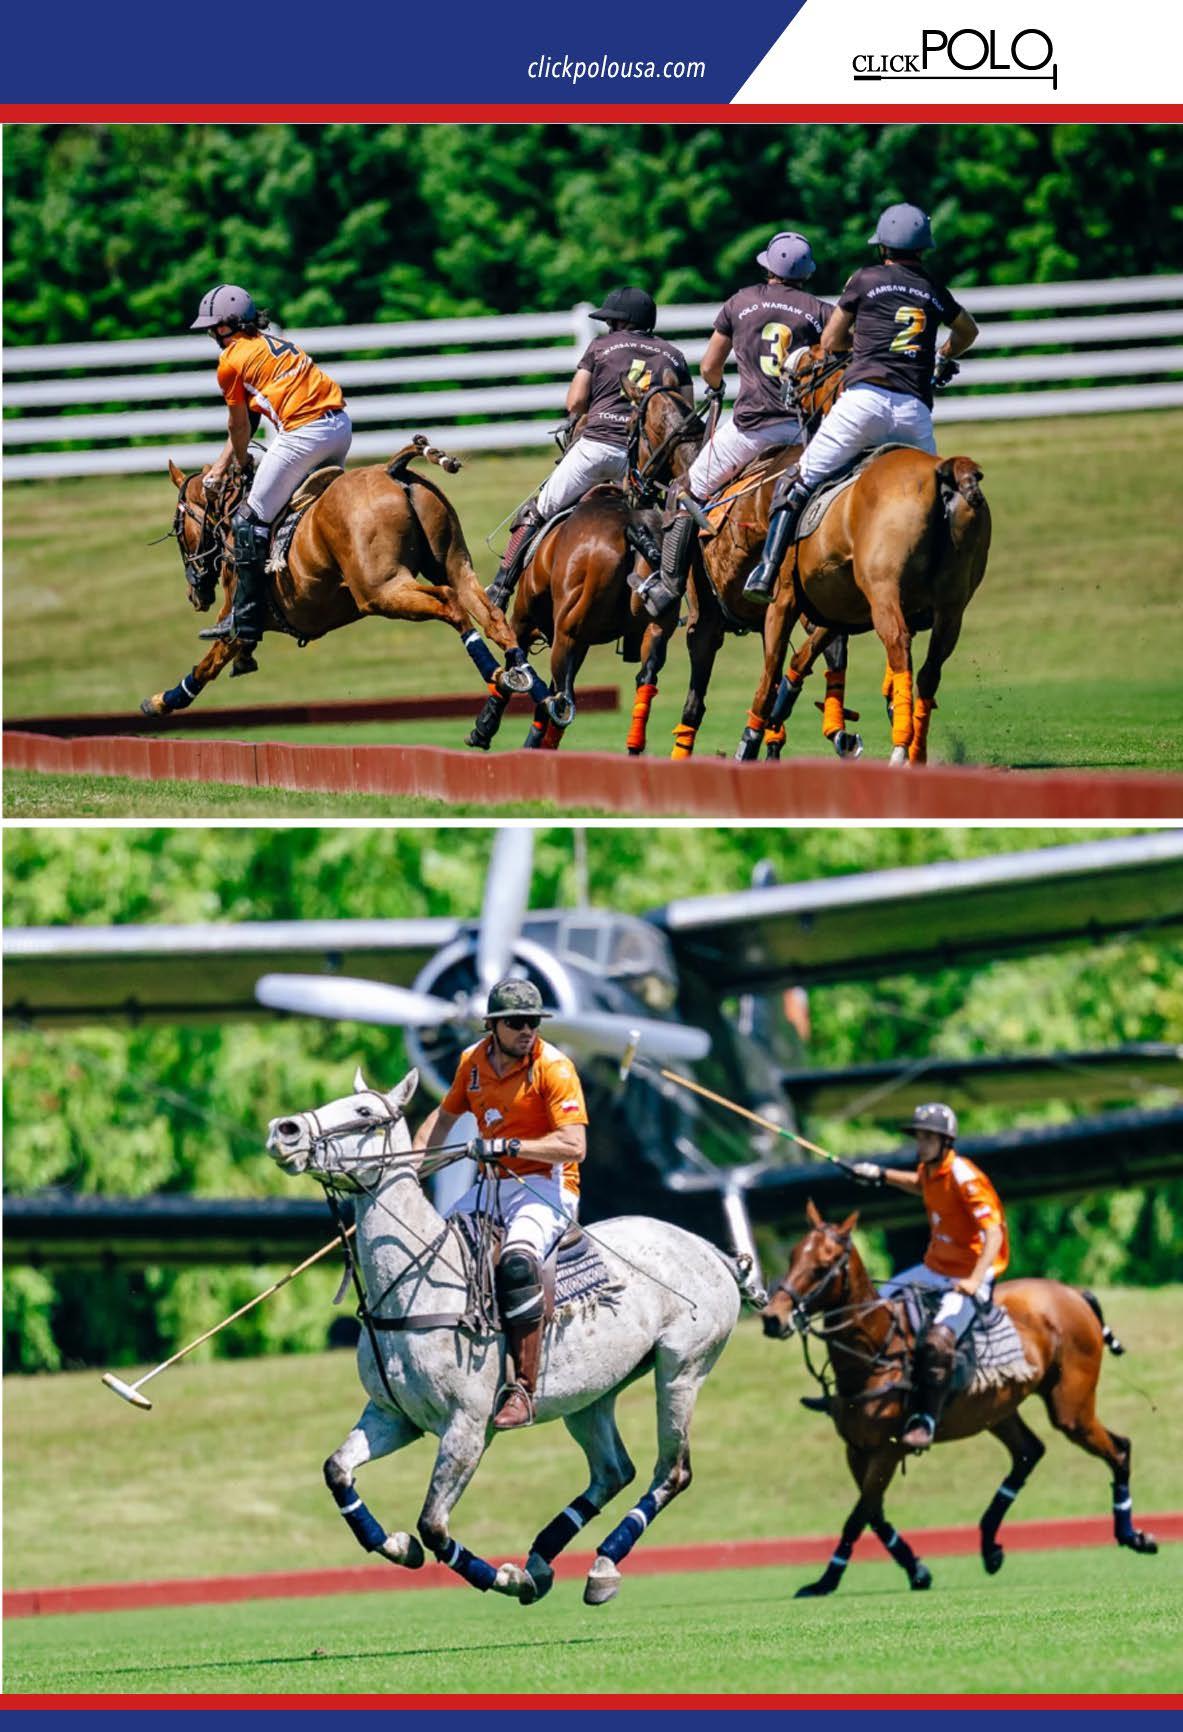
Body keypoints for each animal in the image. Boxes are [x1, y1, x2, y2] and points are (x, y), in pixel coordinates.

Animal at [140, 437, 546, 720]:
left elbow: (209, 660)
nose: (195, 595)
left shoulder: (237, 618)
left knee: (449, 601)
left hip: (381, 590)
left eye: (178, 530)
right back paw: (537, 688)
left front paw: (162, 700)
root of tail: (392, 470)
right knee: (490, 614)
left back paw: (494, 672)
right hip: (454, 562)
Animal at [266, 1067, 760, 1607]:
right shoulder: (393, 1415)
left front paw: (502, 1578)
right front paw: (397, 1546)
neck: (415, 1283)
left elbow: (433, 1525)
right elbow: (337, 1469)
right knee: (613, 1470)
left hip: (682, 1368)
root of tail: (709, 1249)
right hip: (592, 1392)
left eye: (364, 1112)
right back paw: (545, 1559)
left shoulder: (467, 1426)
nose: (283, 1130)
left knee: (671, 1470)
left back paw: (599, 1564)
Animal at [465, 372, 705, 755]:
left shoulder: (525, 620)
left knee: (562, 698)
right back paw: (632, 747)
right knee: (644, 677)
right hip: (656, 628)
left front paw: (484, 727)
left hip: (565, 632)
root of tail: (631, 527)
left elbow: (516, 671)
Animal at [760, 1202, 1158, 1598]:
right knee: (1029, 1452)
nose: (771, 1318)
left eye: (823, 1265)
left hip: (1070, 1406)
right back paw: (990, 1546)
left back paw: (1132, 1535)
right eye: (793, 1256)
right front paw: (917, 1570)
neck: (875, 1353)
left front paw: (827, 1580)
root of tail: (1075, 1294)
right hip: (997, 1410)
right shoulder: (856, 1449)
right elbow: (873, 1514)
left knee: (1118, 1448)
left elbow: (857, 1516)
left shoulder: (889, 1448)